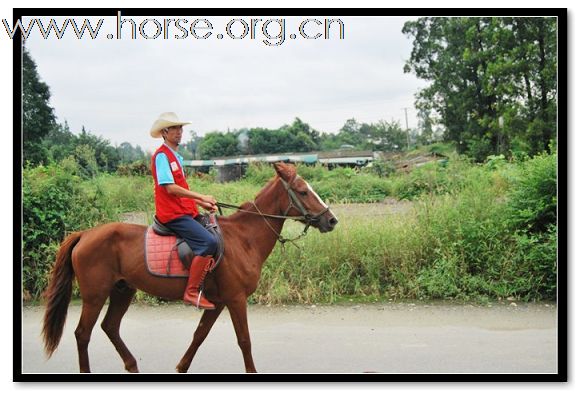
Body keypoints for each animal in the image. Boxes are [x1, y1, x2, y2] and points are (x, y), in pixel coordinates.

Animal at [40, 162, 338, 374]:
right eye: (303, 191)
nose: (331, 220)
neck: (244, 237)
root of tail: (85, 234)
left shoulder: (218, 302)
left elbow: (199, 335)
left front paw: (182, 367)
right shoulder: (235, 299)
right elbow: (244, 340)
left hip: (123, 290)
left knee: (110, 326)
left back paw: (132, 365)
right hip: (95, 295)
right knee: (83, 334)